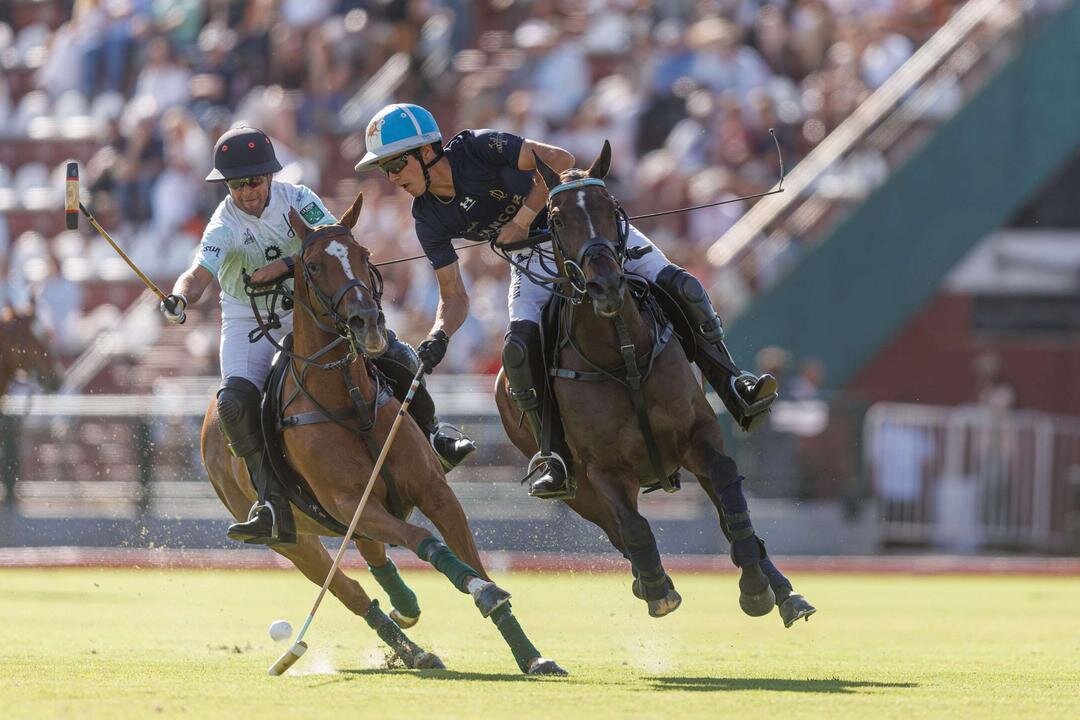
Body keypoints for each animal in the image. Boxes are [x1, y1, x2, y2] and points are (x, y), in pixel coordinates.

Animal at [201, 191, 565, 677]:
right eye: (312, 265)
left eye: (364, 254)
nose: (367, 322)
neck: (349, 400)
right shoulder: (351, 503)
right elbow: (424, 541)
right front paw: (480, 592)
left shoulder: (432, 490)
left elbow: (472, 560)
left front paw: (532, 655)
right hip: (297, 539)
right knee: (351, 592)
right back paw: (405, 648)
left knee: (377, 562)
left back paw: (407, 612)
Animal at [494, 143, 812, 626]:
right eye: (556, 218)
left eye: (611, 207)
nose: (606, 285)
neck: (621, 352)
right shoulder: (601, 470)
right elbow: (634, 527)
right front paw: (659, 589)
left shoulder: (700, 433)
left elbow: (730, 495)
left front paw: (755, 587)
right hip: (576, 489)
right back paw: (646, 580)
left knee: (685, 285)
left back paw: (782, 590)